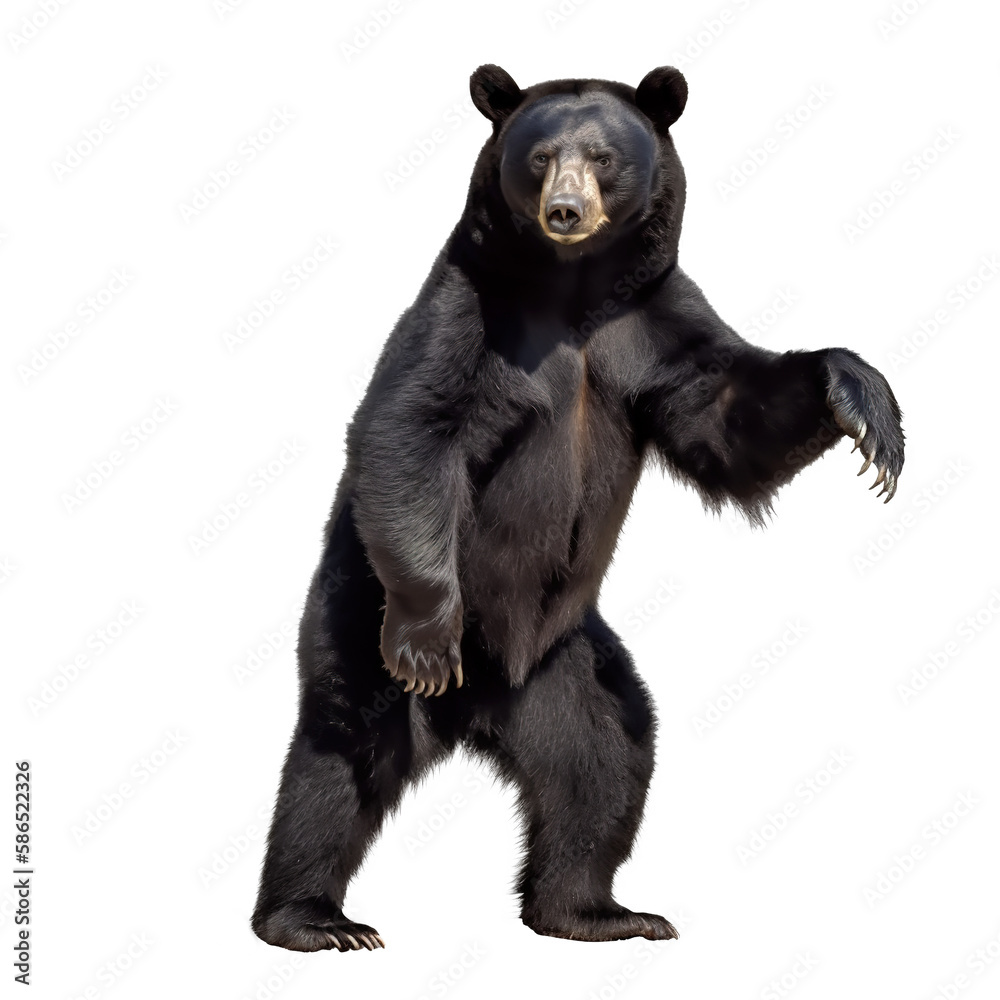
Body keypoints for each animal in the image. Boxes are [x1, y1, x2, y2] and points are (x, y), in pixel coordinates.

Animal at [251, 64, 904, 952]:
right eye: (539, 157)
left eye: (602, 157)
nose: (565, 210)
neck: (572, 291)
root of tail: (479, 705)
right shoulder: (467, 311)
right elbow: (410, 428)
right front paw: (427, 637)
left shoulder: (652, 327)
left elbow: (725, 416)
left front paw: (862, 403)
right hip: (353, 610)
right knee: (338, 751)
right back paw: (313, 918)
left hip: (568, 663)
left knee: (603, 757)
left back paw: (595, 910)